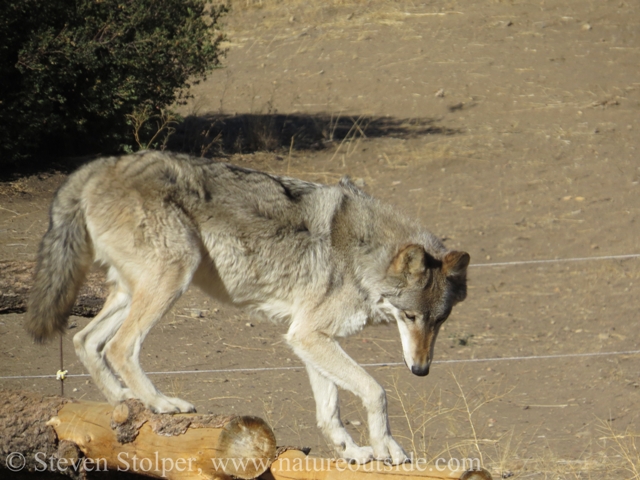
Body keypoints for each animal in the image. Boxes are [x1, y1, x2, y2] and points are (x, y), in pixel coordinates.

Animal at [26, 151, 470, 464]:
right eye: (410, 317)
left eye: (439, 321)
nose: (421, 370)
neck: (363, 252)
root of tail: (99, 166)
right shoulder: (309, 336)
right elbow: (376, 391)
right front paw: (386, 447)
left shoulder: (308, 338)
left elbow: (329, 411)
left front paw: (352, 452)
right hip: (173, 277)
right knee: (120, 347)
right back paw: (160, 404)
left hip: (131, 293)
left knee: (86, 340)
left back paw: (125, 404)